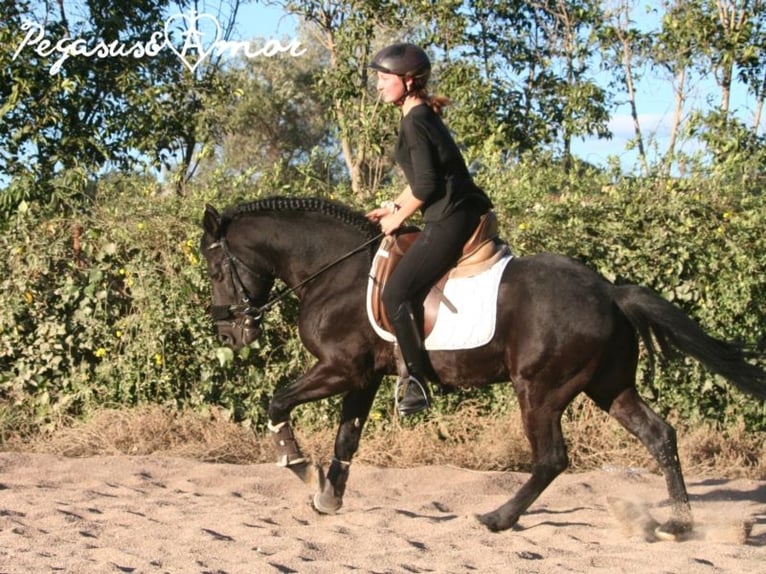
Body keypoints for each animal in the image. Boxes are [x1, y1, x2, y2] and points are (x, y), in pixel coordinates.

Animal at [200, 198, 766, 540]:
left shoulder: (340, 368)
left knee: (552, 458)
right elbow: (346, 439)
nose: (229, 335)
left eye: (215, 268)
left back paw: (498, 518)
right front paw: (327, 498)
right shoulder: (364, 375)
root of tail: (610, 292)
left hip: (539, 390)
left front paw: (299, 467)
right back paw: (679, 524)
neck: (335, 272)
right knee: (660, 436)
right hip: (609, 387)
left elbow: (277, 401)